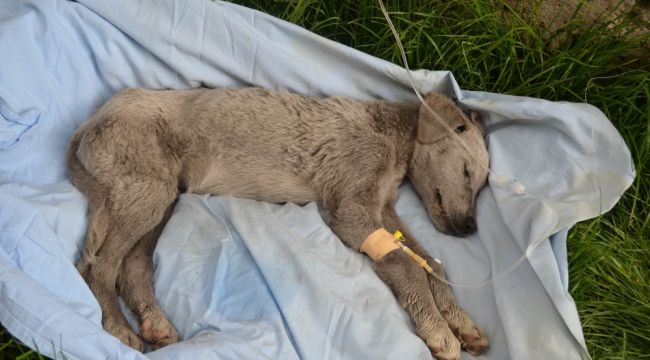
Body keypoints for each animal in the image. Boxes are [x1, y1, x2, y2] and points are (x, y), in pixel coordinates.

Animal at [68, 88, 488, 360]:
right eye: (468, 172)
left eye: (482, 183)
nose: (469, 228)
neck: (388, 134)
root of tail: (86, 125)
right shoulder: (350, 208)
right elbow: (406, 265)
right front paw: (440, 333)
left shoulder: (383, 211)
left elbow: (431, 263)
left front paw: (462, 324)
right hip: (146, 190)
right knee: (96, 267)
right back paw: (118, 329)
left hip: (160, 195)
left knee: (131, 269)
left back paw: (155, 324)